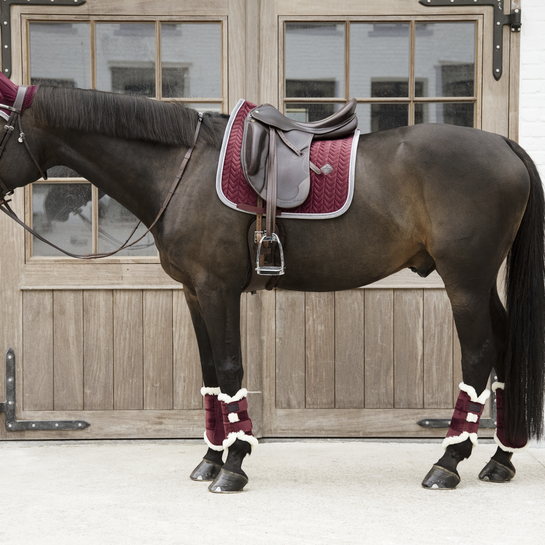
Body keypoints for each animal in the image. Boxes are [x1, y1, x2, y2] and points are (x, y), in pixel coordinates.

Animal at [0, 76, 540, 492]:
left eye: (0, 124)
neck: (182, 170)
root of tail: (504, 144)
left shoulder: (217, 289)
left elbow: (230, 369)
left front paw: (234, 465)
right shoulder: (193, 292)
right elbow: (210, 376)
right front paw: (211, 458)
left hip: (464, 280)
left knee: (478, 356)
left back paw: (447, 464)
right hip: (479, 283)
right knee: (504, 347)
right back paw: (500, 459)